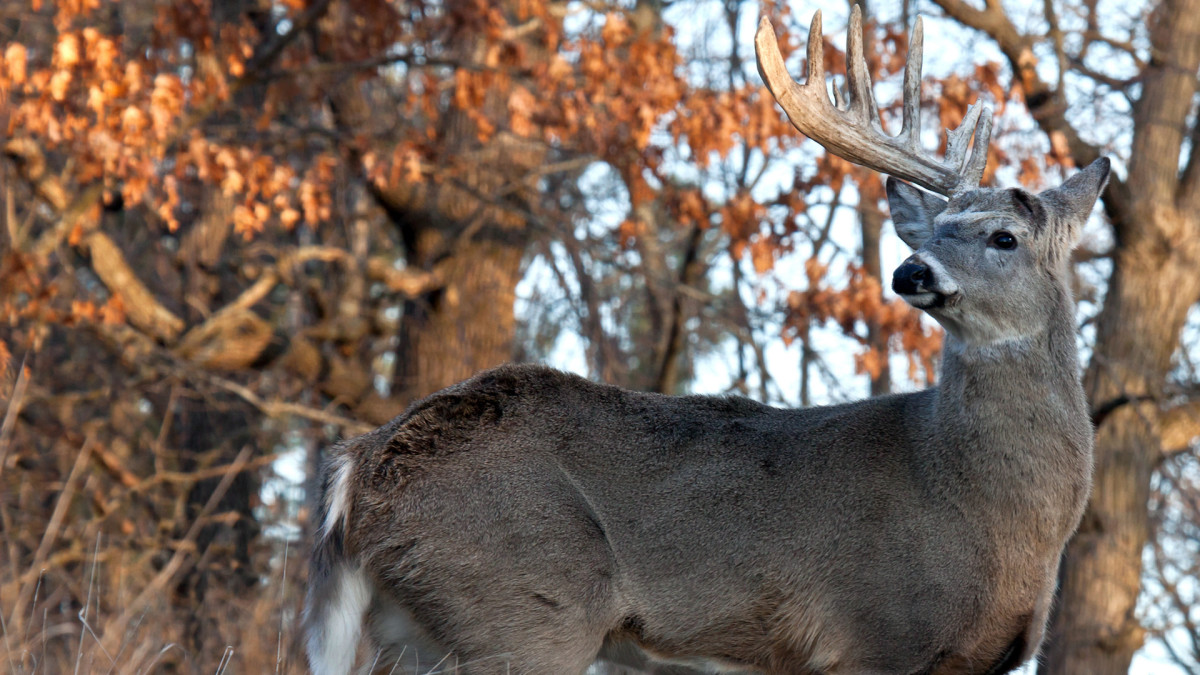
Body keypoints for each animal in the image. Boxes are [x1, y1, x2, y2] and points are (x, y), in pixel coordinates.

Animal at [304, 6, 1108, 672]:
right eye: (933, 231)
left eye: (1003, 236)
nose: (910, 269)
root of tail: (358, 464)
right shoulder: (877, 634)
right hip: (522, 603)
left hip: (413, 629)